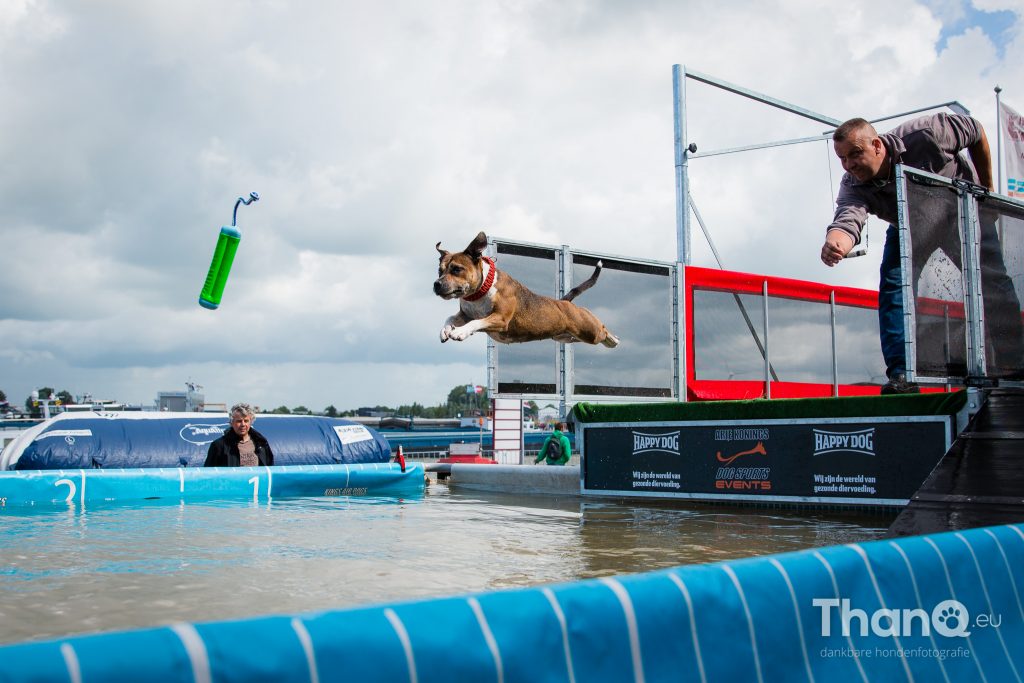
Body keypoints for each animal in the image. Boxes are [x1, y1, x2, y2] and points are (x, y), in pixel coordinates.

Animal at [432, 232, 614, 348]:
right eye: (440, 271)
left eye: (457, 269)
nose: (436, 284)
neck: (480, 292)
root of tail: (564, 301)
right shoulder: (465, 314)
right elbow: (450, 318)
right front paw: (445, 330)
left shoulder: (500, 318)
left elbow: (477, 322)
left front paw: (459, 332)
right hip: (564, 336)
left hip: (589, 329)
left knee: (602, 330)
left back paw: (613, 339)